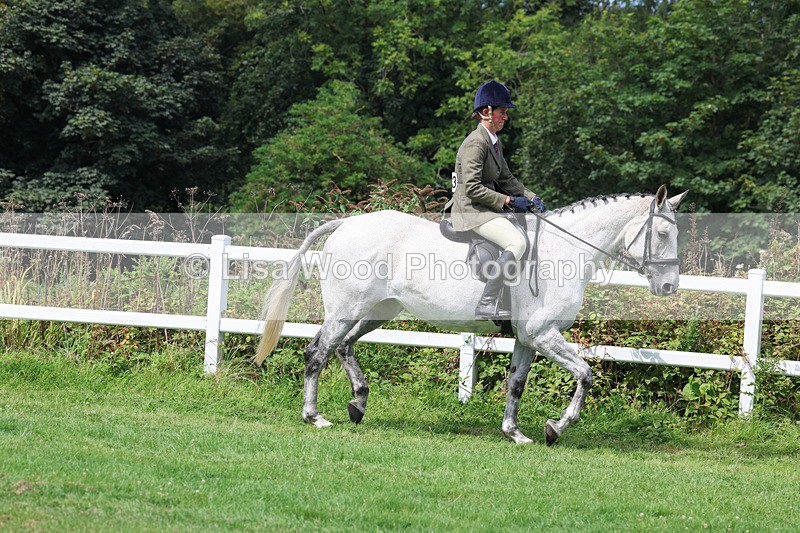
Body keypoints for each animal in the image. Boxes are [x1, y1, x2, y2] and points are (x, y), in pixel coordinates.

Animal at [255, 185, 688, 445]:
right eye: (663, 234)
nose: (669, 287)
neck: (565, 250)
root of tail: (347, 223)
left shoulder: (528, 339)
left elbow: (516, 384)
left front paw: (515, 433)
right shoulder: (543, 333)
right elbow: (585, 373)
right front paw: (555, 428)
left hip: (377, 311)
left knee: (343, 346)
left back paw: (358, 403)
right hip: (346, 309)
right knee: (317, 353)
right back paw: (315, 417)